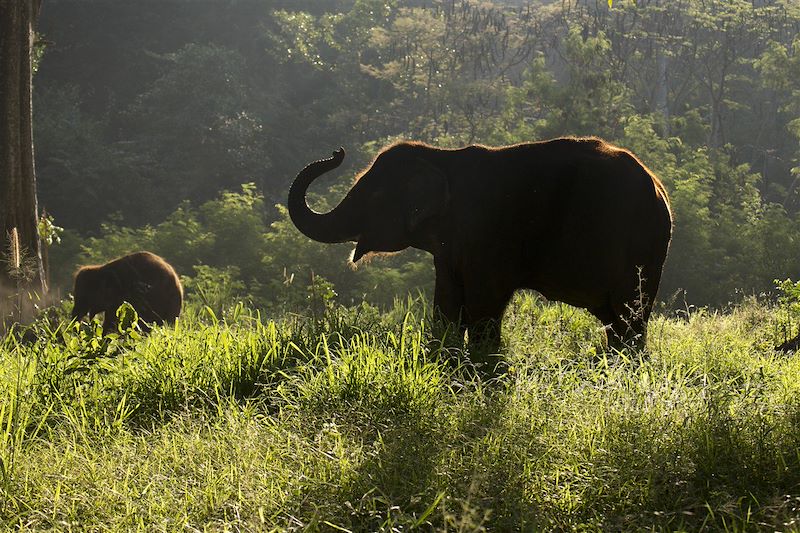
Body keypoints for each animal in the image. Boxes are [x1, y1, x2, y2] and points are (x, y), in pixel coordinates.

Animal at [288, 139, 676, 352]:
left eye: (372, 195)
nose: (337, 151)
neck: (441, 156)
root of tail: (658, 188)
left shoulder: (487, 236)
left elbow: (481, 305)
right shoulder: (450, 250)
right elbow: (446, 305)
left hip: (641, 249)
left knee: (629, 315)